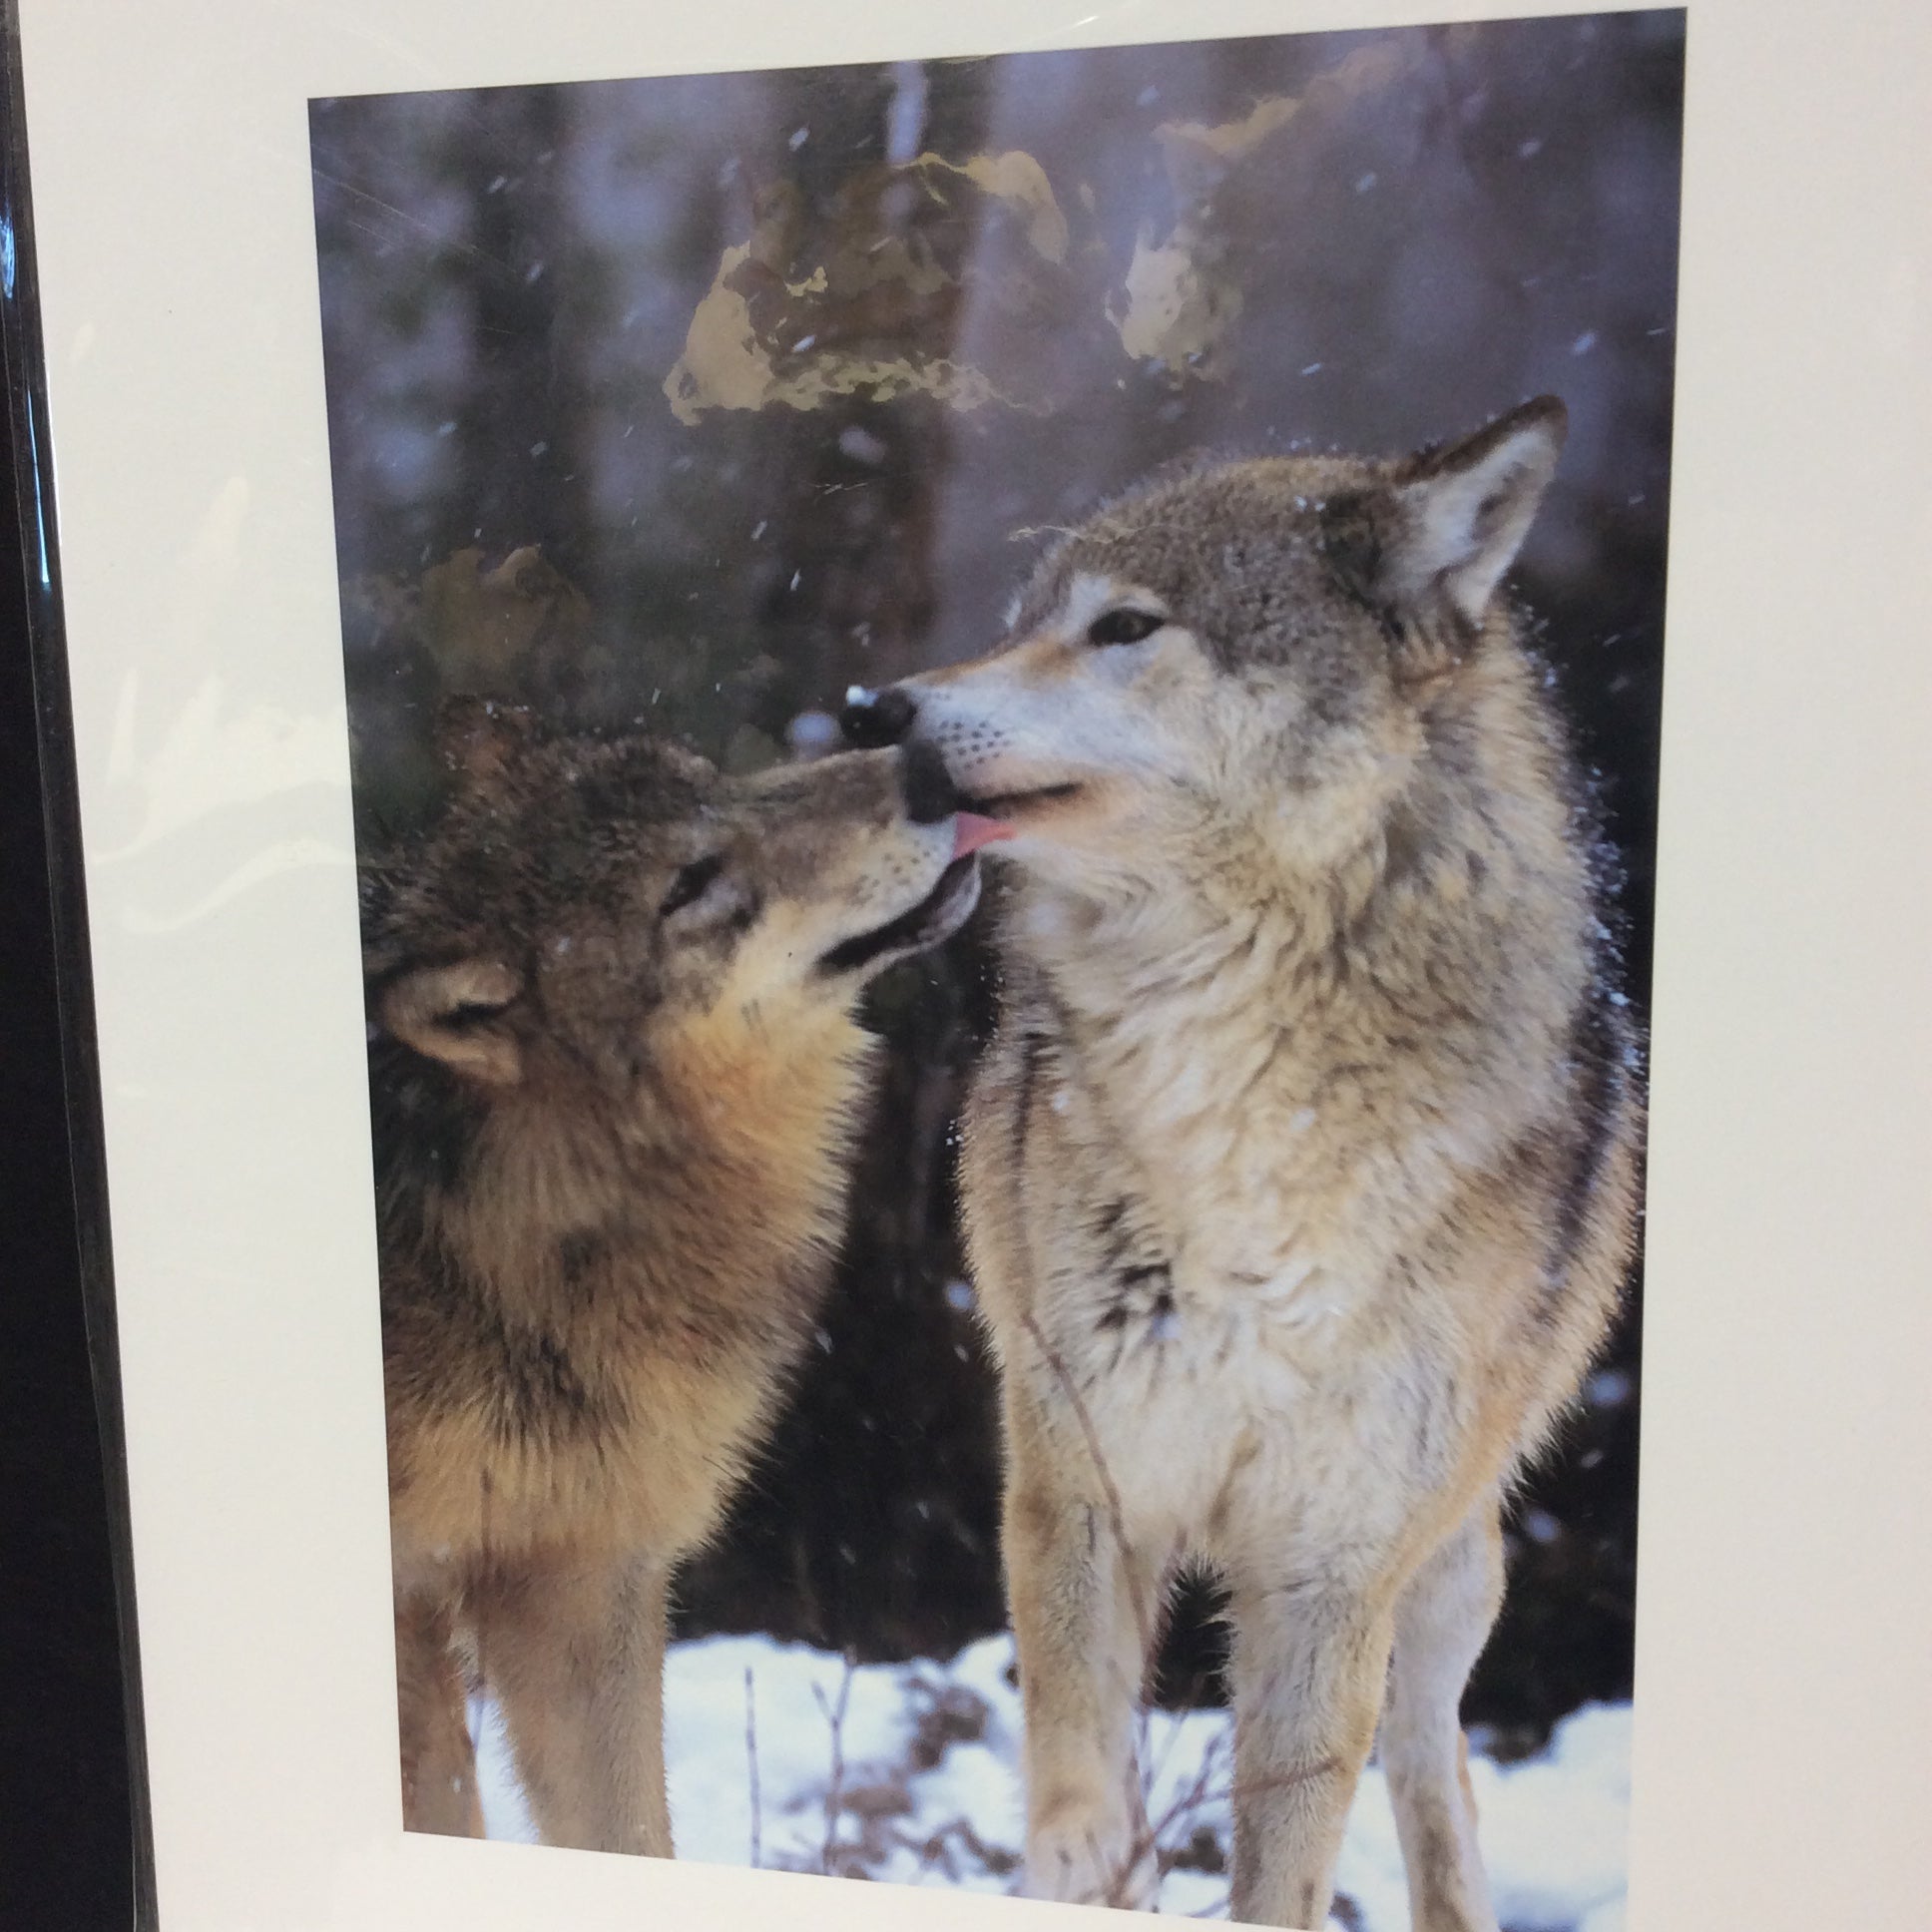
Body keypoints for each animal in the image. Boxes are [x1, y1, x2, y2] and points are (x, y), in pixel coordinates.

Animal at [360, 699, 1008, 1855]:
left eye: (721, 784)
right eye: (687, 884)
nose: (930, 768)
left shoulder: (583, 1580)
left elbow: (628, 1833)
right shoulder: (412, 1597)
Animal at [842, 397, 1642, 1930]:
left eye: (1121, 626)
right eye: (1022, 622)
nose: (874, 710)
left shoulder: (1332, 1569)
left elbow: (1289, 1852)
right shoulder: (1077, 1471)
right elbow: (1078, 1753)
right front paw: (1079, 1860)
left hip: (1443, 1576)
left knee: (1434, 1768)